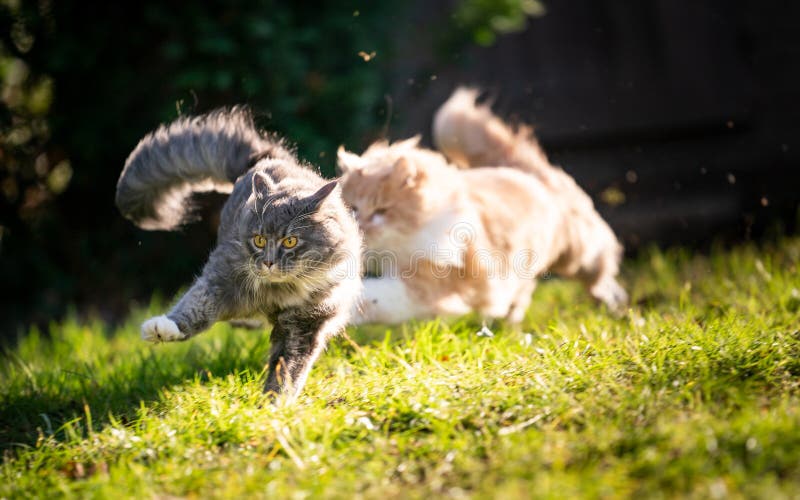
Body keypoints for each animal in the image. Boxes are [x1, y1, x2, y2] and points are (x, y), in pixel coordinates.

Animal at [115, 107, 360, 400]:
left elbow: (287, 370)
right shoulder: (220, 282)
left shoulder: (305, 323)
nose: (268, 262)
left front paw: (273, 404)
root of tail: (265, 158)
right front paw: (162, 330)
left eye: (290, 241)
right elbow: (193, 310)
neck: (278, 292)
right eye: (259, 240)